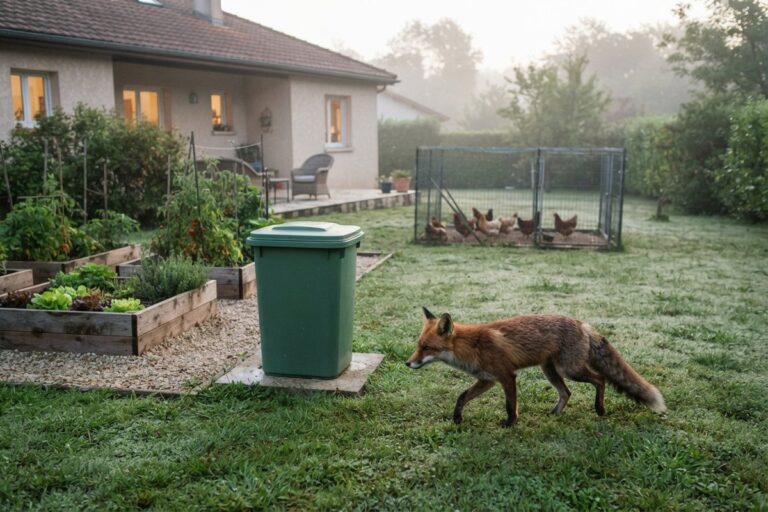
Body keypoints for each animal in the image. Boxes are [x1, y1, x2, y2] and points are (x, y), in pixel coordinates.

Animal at [406, 307, 666, 427]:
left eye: (427, 348)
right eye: (418, 346)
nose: (408, 363)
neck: (473, 346)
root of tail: (582, 323)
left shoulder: (506, 376)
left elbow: (510, 405)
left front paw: (510, 424)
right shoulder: (487, 379)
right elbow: (461, 396)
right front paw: (457, 418)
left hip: (570, 369)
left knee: (600, 380)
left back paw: (600, 409)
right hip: (550, 371)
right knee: (567, 393)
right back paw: (555, 414)